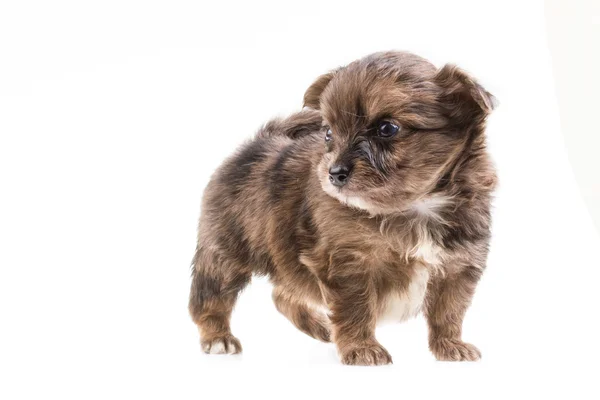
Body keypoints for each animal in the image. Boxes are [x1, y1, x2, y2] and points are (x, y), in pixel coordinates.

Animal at [189, 51, 496, 364]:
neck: (414, 206)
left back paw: (319, 327)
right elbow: (356, 309)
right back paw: (218, 338)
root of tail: (259, 141)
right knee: (211, 295)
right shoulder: (348, 263)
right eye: (328, 133)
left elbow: (448, 310)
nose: (334, 173)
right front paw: (362, 348)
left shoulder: (458, 265)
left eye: (387, 128)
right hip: (226, 250)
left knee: (283, 295)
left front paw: (450, 344)